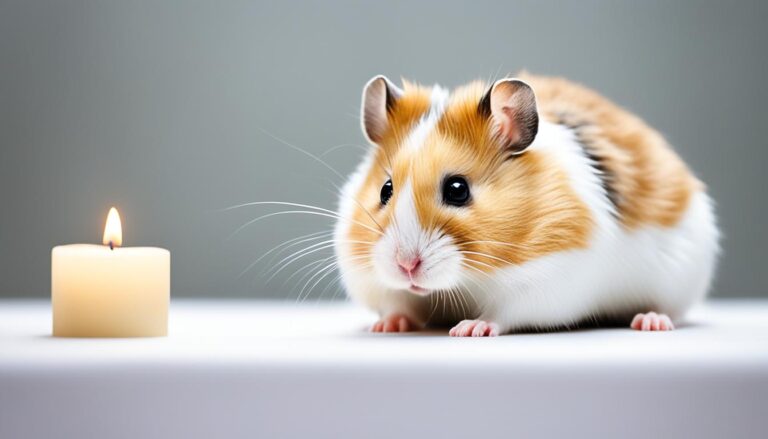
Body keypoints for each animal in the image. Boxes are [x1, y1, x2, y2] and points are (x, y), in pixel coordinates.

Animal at [334, 73, 719, 336]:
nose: (405, 267)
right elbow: (398, 303)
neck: (459, 284)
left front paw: (469, 328)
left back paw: (650, 322)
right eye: (385, 190)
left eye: (458, 190)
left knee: (667, 309)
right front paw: (387, 326)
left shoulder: (546, 282)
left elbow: (502, 314)